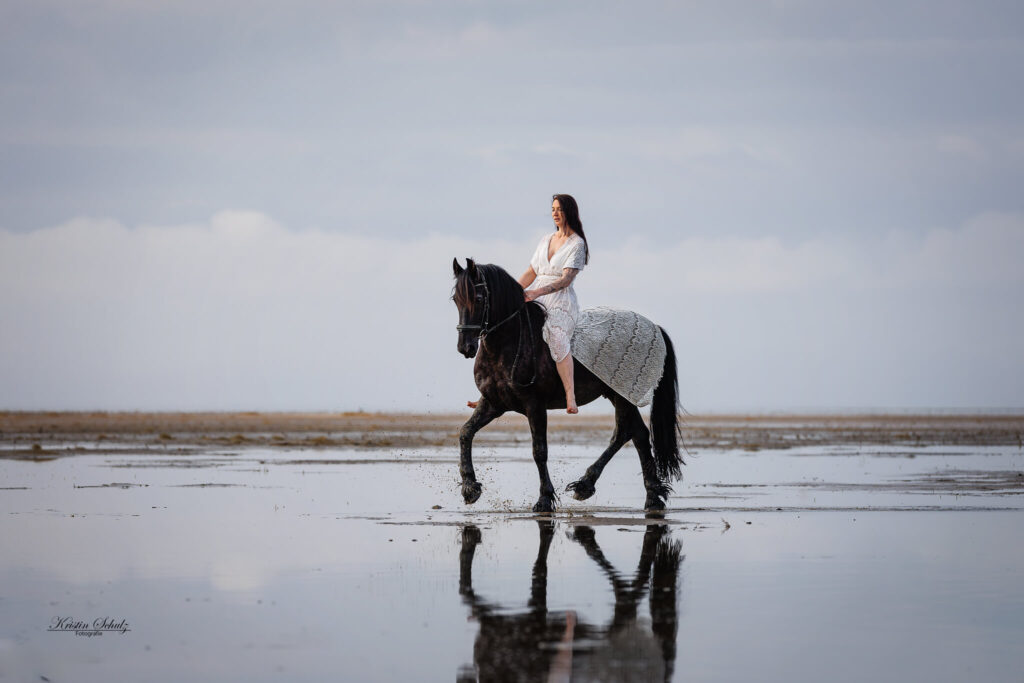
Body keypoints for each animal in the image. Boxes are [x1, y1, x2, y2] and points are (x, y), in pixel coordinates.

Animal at [452, 258, 682, 512]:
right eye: (455, 300)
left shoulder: (534, 405)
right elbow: (465, 433)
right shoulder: (493, 403)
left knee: (631, 434)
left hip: (623, 394)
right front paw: (470, 488)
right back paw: (630, 493)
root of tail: (655, 327)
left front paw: (544, 499)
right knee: (633, 433)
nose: (465, 347)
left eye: (478, 298)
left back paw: (628, 492)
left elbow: (539, 451)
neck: (509, 343)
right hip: (617, 394)